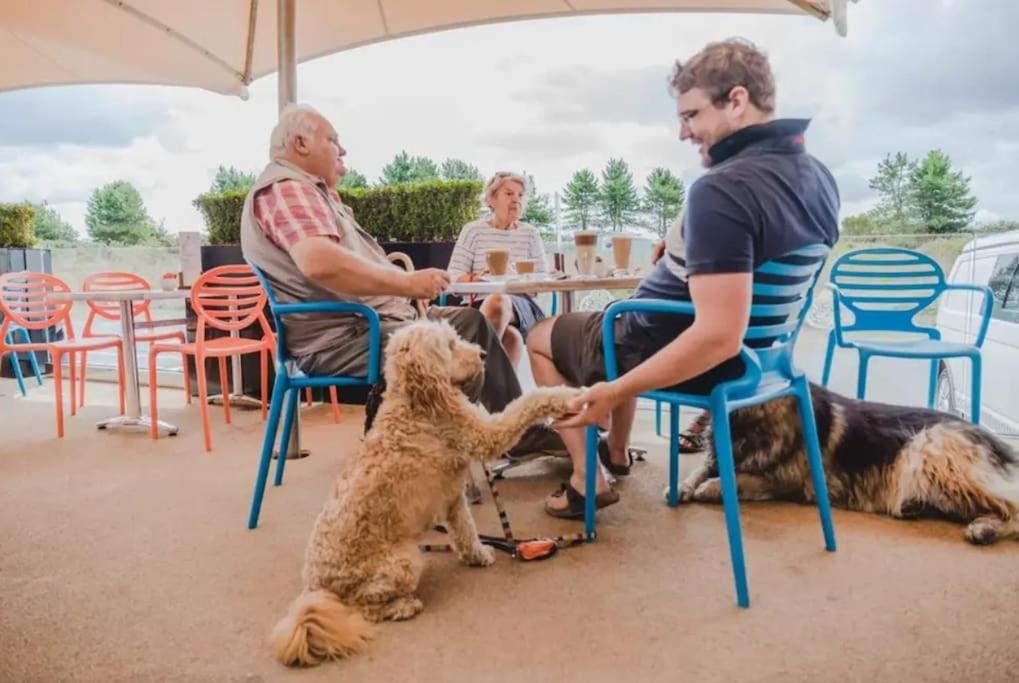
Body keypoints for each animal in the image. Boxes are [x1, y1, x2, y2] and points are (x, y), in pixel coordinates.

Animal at [273, 322, 582, 668]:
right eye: (449, 346)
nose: (483, 354)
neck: (415, 401)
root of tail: (314, 589)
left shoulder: (453, 497)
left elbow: (465, 529)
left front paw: (477, 555)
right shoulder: (486, 434)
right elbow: (527, 403)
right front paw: (569, 395)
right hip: (403, 561)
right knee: (365, 607)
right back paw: (403, 606)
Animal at [680, 385, 1019, 546]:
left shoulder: (787, 481)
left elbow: (742, 477)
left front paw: (711, 487)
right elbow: (700, 469)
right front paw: (683, 485)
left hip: (930, 455)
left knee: (1012, 505)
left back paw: (986, 529)